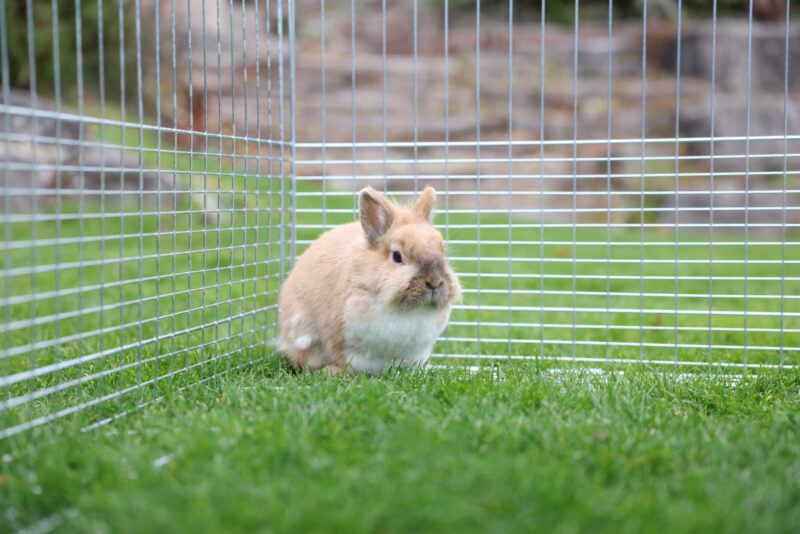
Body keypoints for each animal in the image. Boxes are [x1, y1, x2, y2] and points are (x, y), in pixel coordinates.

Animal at [280, 188, 462, 376]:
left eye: (442, 253)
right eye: (397, 256)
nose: (435, 282)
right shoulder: (337, 339)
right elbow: (340, 358)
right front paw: (336, 372)